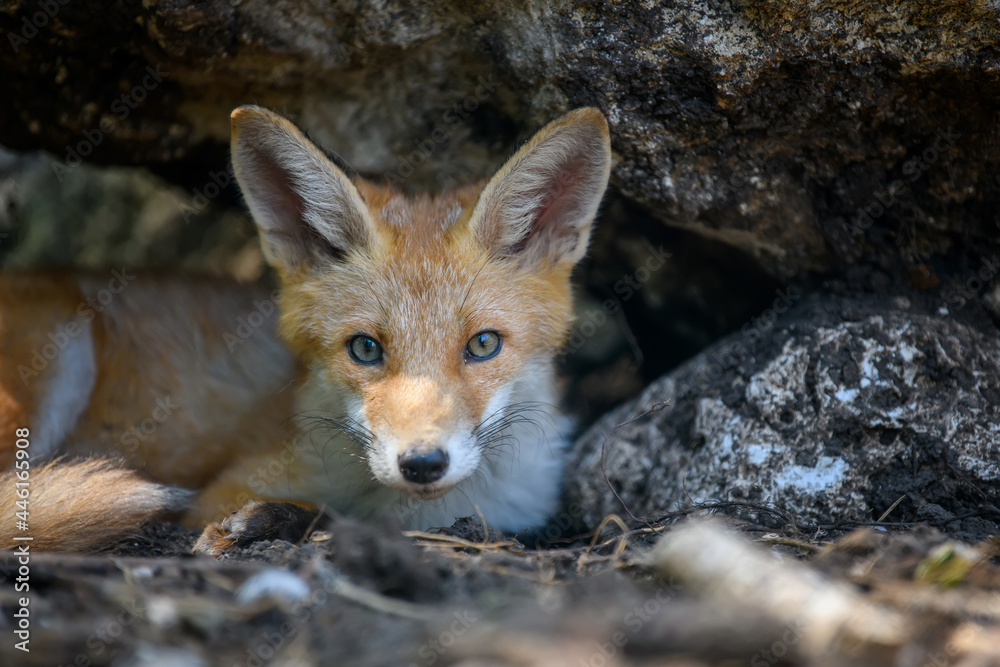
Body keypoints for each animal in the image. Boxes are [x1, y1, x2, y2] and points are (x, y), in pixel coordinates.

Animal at [0, 105, 608, 552]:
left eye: (483, 344)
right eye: (365, 349)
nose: (421, 463)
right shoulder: (225, 486)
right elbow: (311, 513)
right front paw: (263, 522)